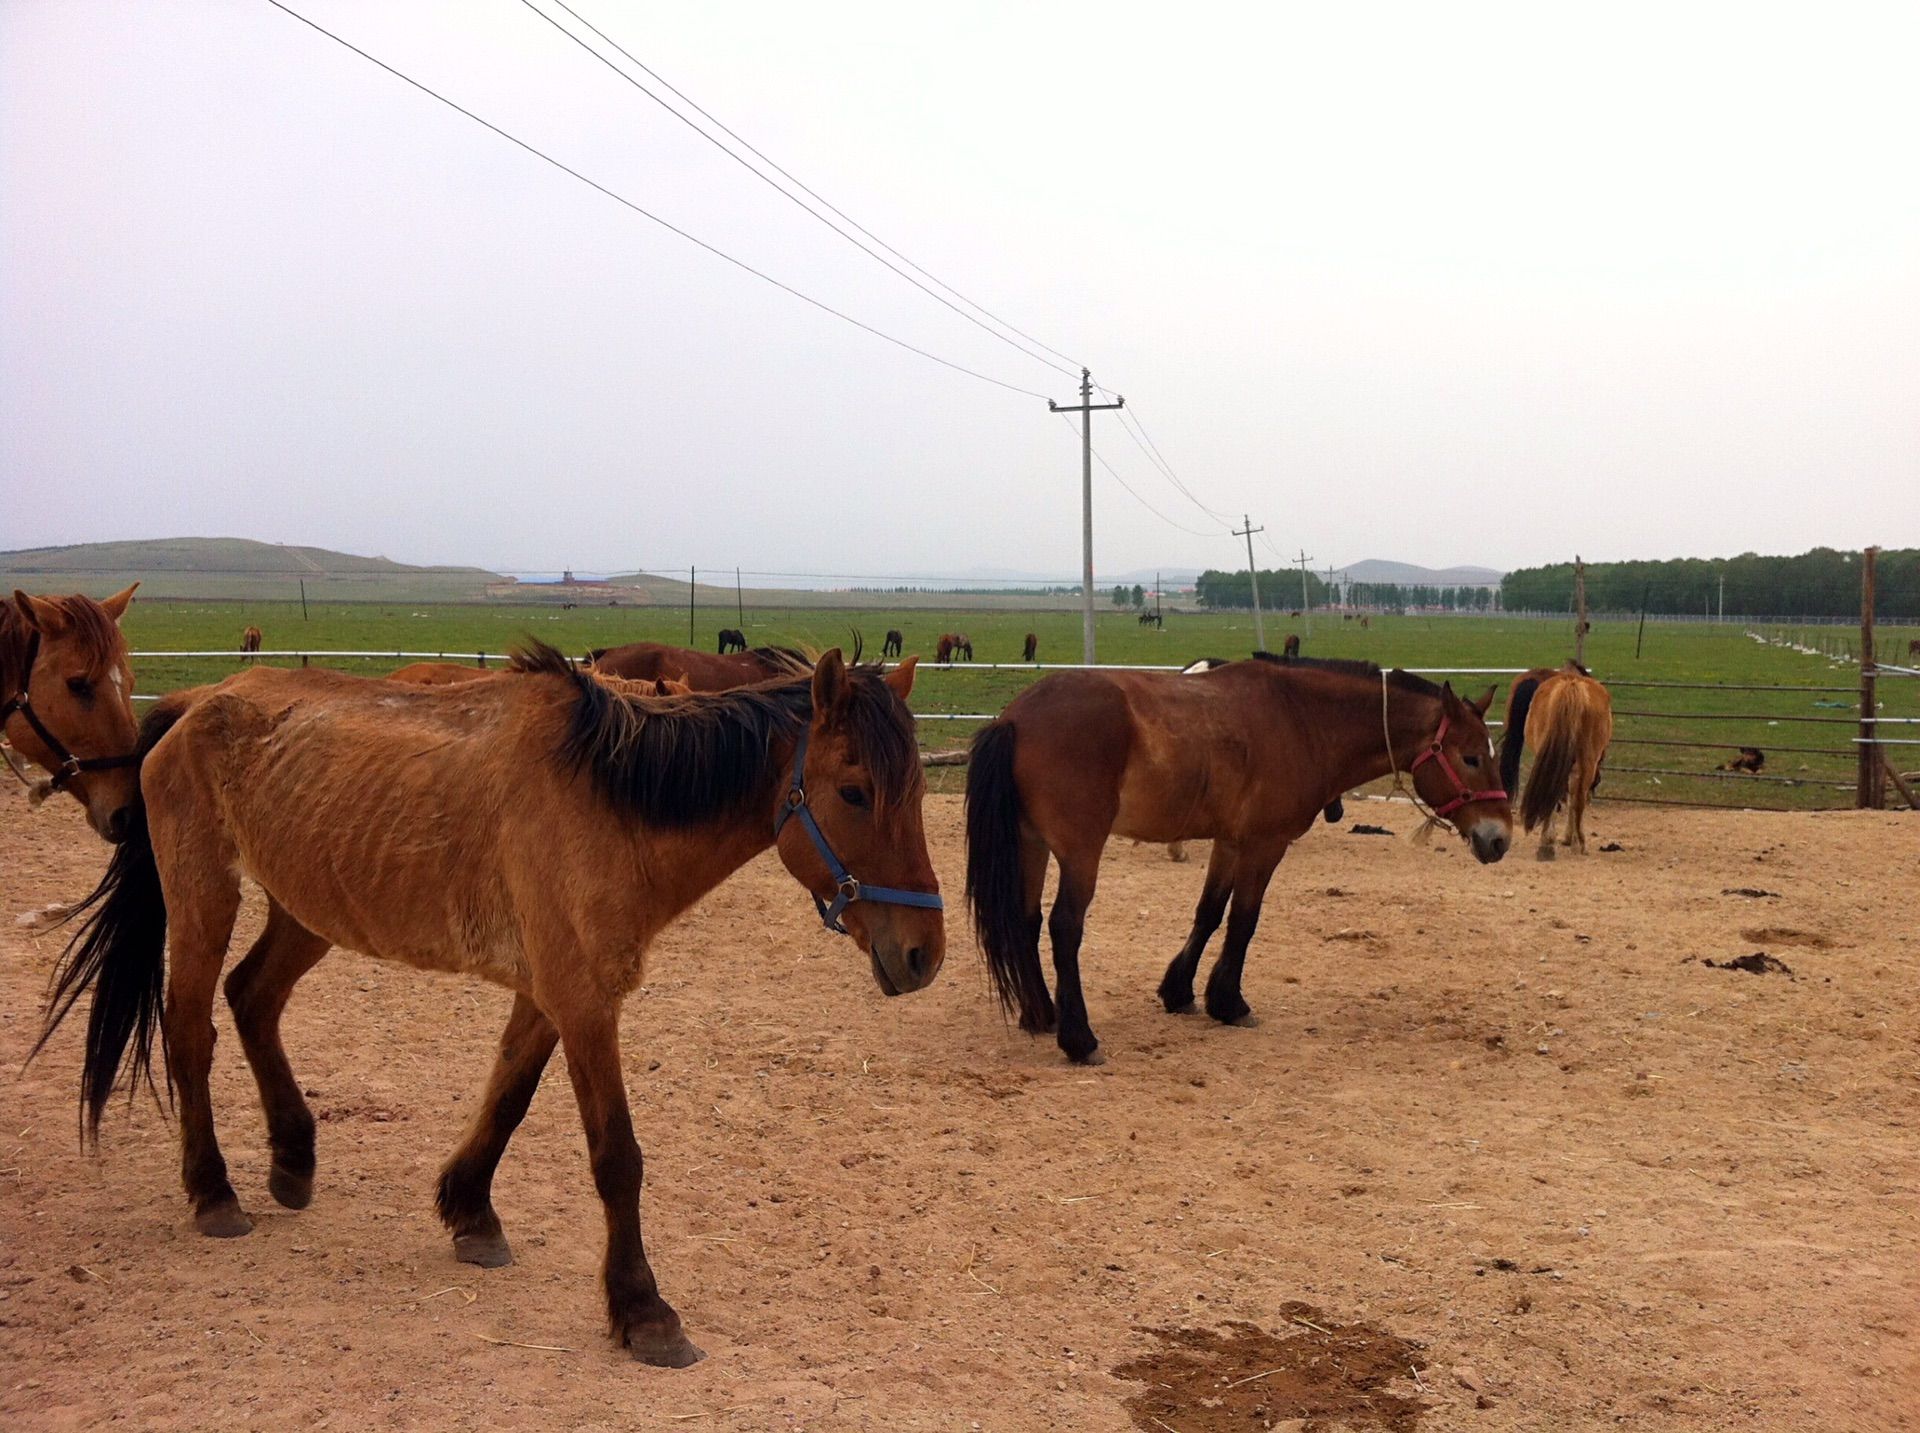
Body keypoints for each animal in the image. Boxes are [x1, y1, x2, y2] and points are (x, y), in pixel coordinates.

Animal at [967, 656, 1505, 1060]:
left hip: (1033, 844)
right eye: (1471, 757)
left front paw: (1181, 991)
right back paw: (1078, 1038)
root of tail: (1016, 717)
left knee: (1026, 920)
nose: (1499, 839)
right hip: (1080, 851)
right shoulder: (1265, 845)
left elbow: (1208, 913)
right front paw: (1229, 1002)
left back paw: (1041, 1014)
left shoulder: (1229, 842)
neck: (1301, 718)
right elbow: (1244, 921)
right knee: (1064, 926)